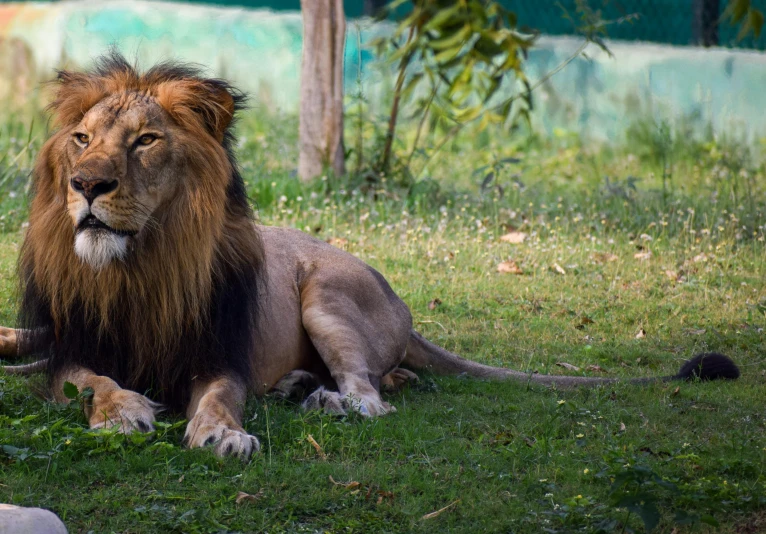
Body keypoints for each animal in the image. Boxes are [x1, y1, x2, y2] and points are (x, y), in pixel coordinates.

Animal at [0, 53, 744, 460]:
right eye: (82, 138)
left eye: (147, 140)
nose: (86, 185)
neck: (141, 266)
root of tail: (403, 307)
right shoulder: (67, 351)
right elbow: (93, 381)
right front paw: (122, 411)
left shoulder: (218, 355)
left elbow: (216, 401)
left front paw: (224, 435)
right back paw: (301, 386)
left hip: (328, 296)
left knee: (372, 396)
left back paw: (326, 400)